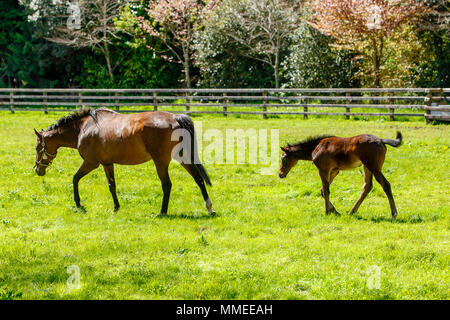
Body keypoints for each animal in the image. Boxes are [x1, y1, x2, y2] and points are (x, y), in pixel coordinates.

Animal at [33, 107, 214, 215]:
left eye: (37, 147)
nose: (37, 169)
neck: (83, 128)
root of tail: (175, 118)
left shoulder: (91, 163)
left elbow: (75, 178)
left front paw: (79, 204)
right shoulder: (107, 164)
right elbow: (112, 186)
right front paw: (116, 207)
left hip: (161, 162)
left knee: (167, 185)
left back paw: (162, 212)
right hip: (182, 157)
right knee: (198, 179)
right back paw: (209, 207)